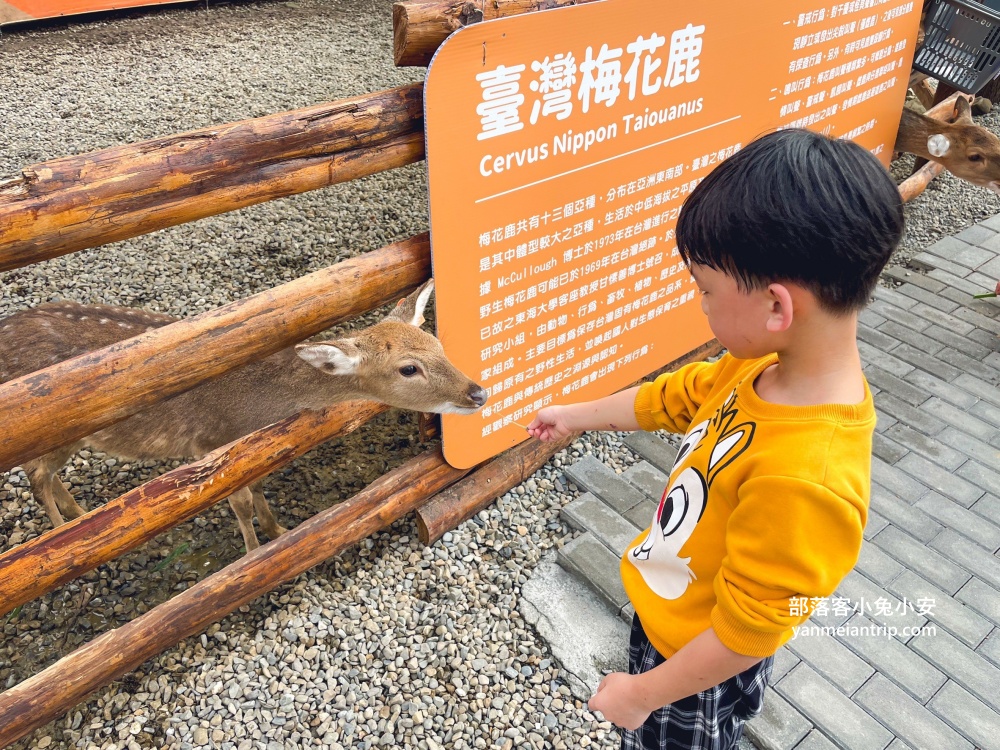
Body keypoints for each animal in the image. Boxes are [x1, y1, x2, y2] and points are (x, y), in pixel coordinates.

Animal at [0, 282, 484, 552]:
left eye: (438, 344)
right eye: (408, 368)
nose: (477, 391)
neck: (257, 406)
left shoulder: (249, 444)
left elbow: (259, 485)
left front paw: (278, 527)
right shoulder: (212, 445)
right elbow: (241, 502)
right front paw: (253, 553)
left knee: (43, 475)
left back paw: (79, 516)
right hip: (54, 434)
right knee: (36, 476)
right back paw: (64, 539)